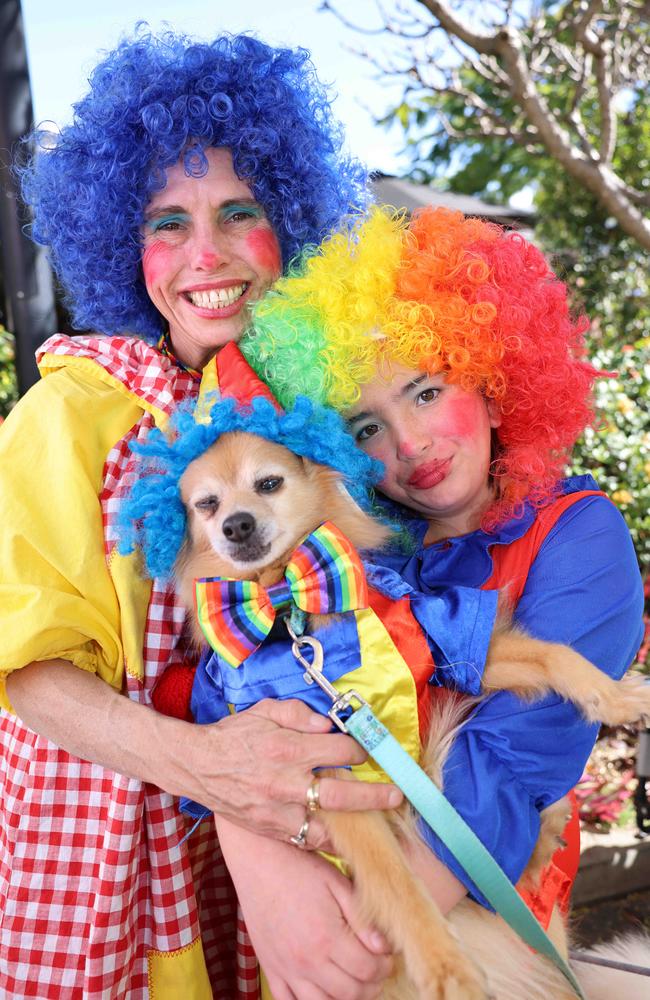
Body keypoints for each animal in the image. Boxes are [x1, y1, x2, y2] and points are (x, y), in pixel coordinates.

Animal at [175, 432, 644, 1000]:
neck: (289, 603)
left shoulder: (447, 650)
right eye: (206, 504)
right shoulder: (327, 772)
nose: (236, 524)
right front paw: (444, 964)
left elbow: (555, 655)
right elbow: (395, 880)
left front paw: (617, 697)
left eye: (268, 483)